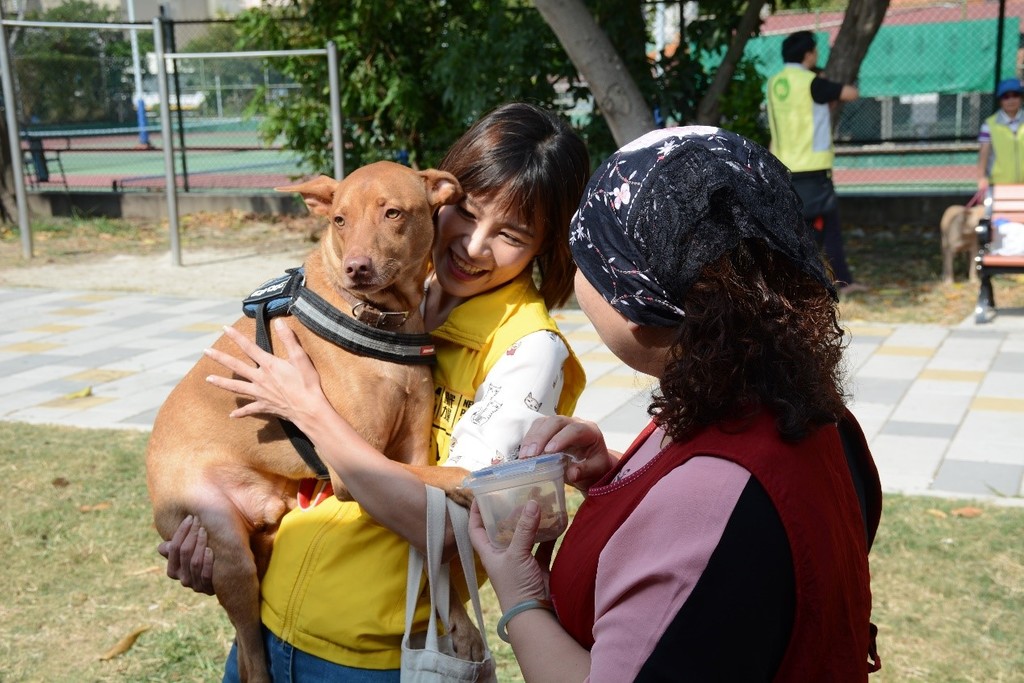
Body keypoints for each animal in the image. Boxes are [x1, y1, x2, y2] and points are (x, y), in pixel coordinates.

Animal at [146, 161, 473, 683]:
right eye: (339, 220)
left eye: (393, 213)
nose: (357, 268)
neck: (382, 319)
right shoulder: (356, 467)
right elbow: (439, 477)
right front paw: (467, 477)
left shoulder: (409, 452)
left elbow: (430, 546)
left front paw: (458, 617)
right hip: (226, 549)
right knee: (251, 650)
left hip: (268, 534)